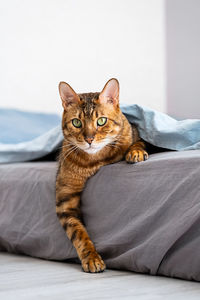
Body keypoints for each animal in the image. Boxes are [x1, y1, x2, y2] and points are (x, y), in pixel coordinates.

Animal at [55, 78, 148, 274]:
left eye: (101, 121)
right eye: (77, 123)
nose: (89, 139)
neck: (93, 161)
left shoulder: (134, 132)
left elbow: (138, 142)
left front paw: (135, 152)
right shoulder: (65, 202)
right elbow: (78, 233)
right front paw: (92, 258)